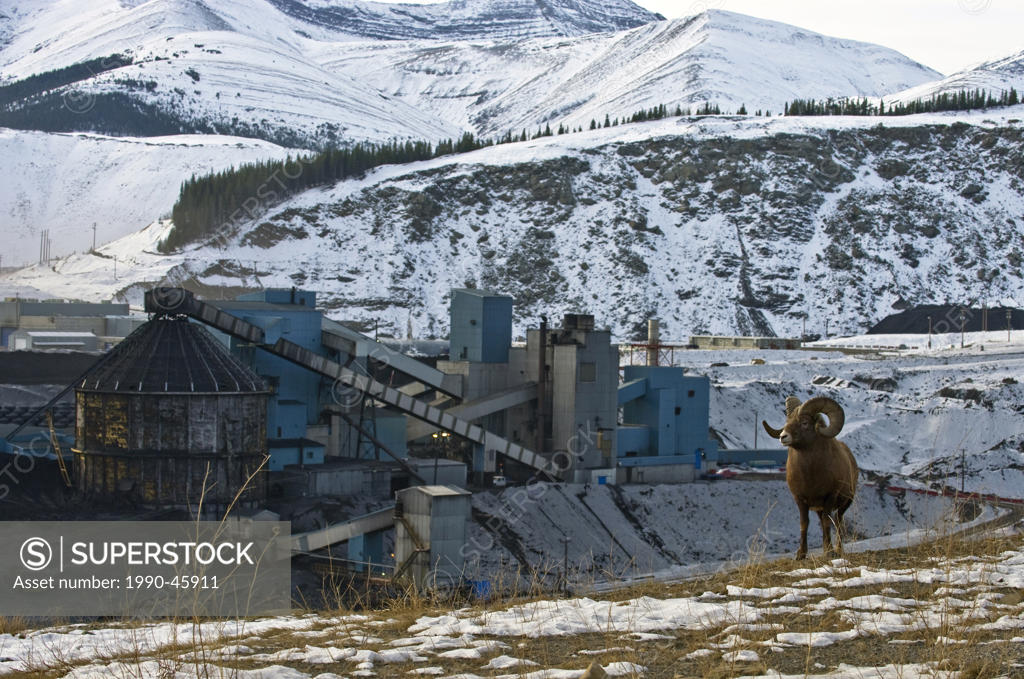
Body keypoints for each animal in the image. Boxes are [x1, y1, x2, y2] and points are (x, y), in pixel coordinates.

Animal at [762, 396, 858, 560]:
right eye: (787, 421)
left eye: (804, 423)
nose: (783, 437)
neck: (810, 476)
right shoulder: (800, 499)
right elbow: (804, 523)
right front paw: (801, 554)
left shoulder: (830, 497)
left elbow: (827, 522)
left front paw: (829, 553)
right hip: (821, 508)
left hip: (846, 502)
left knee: (838, 522)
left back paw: (838, 550)